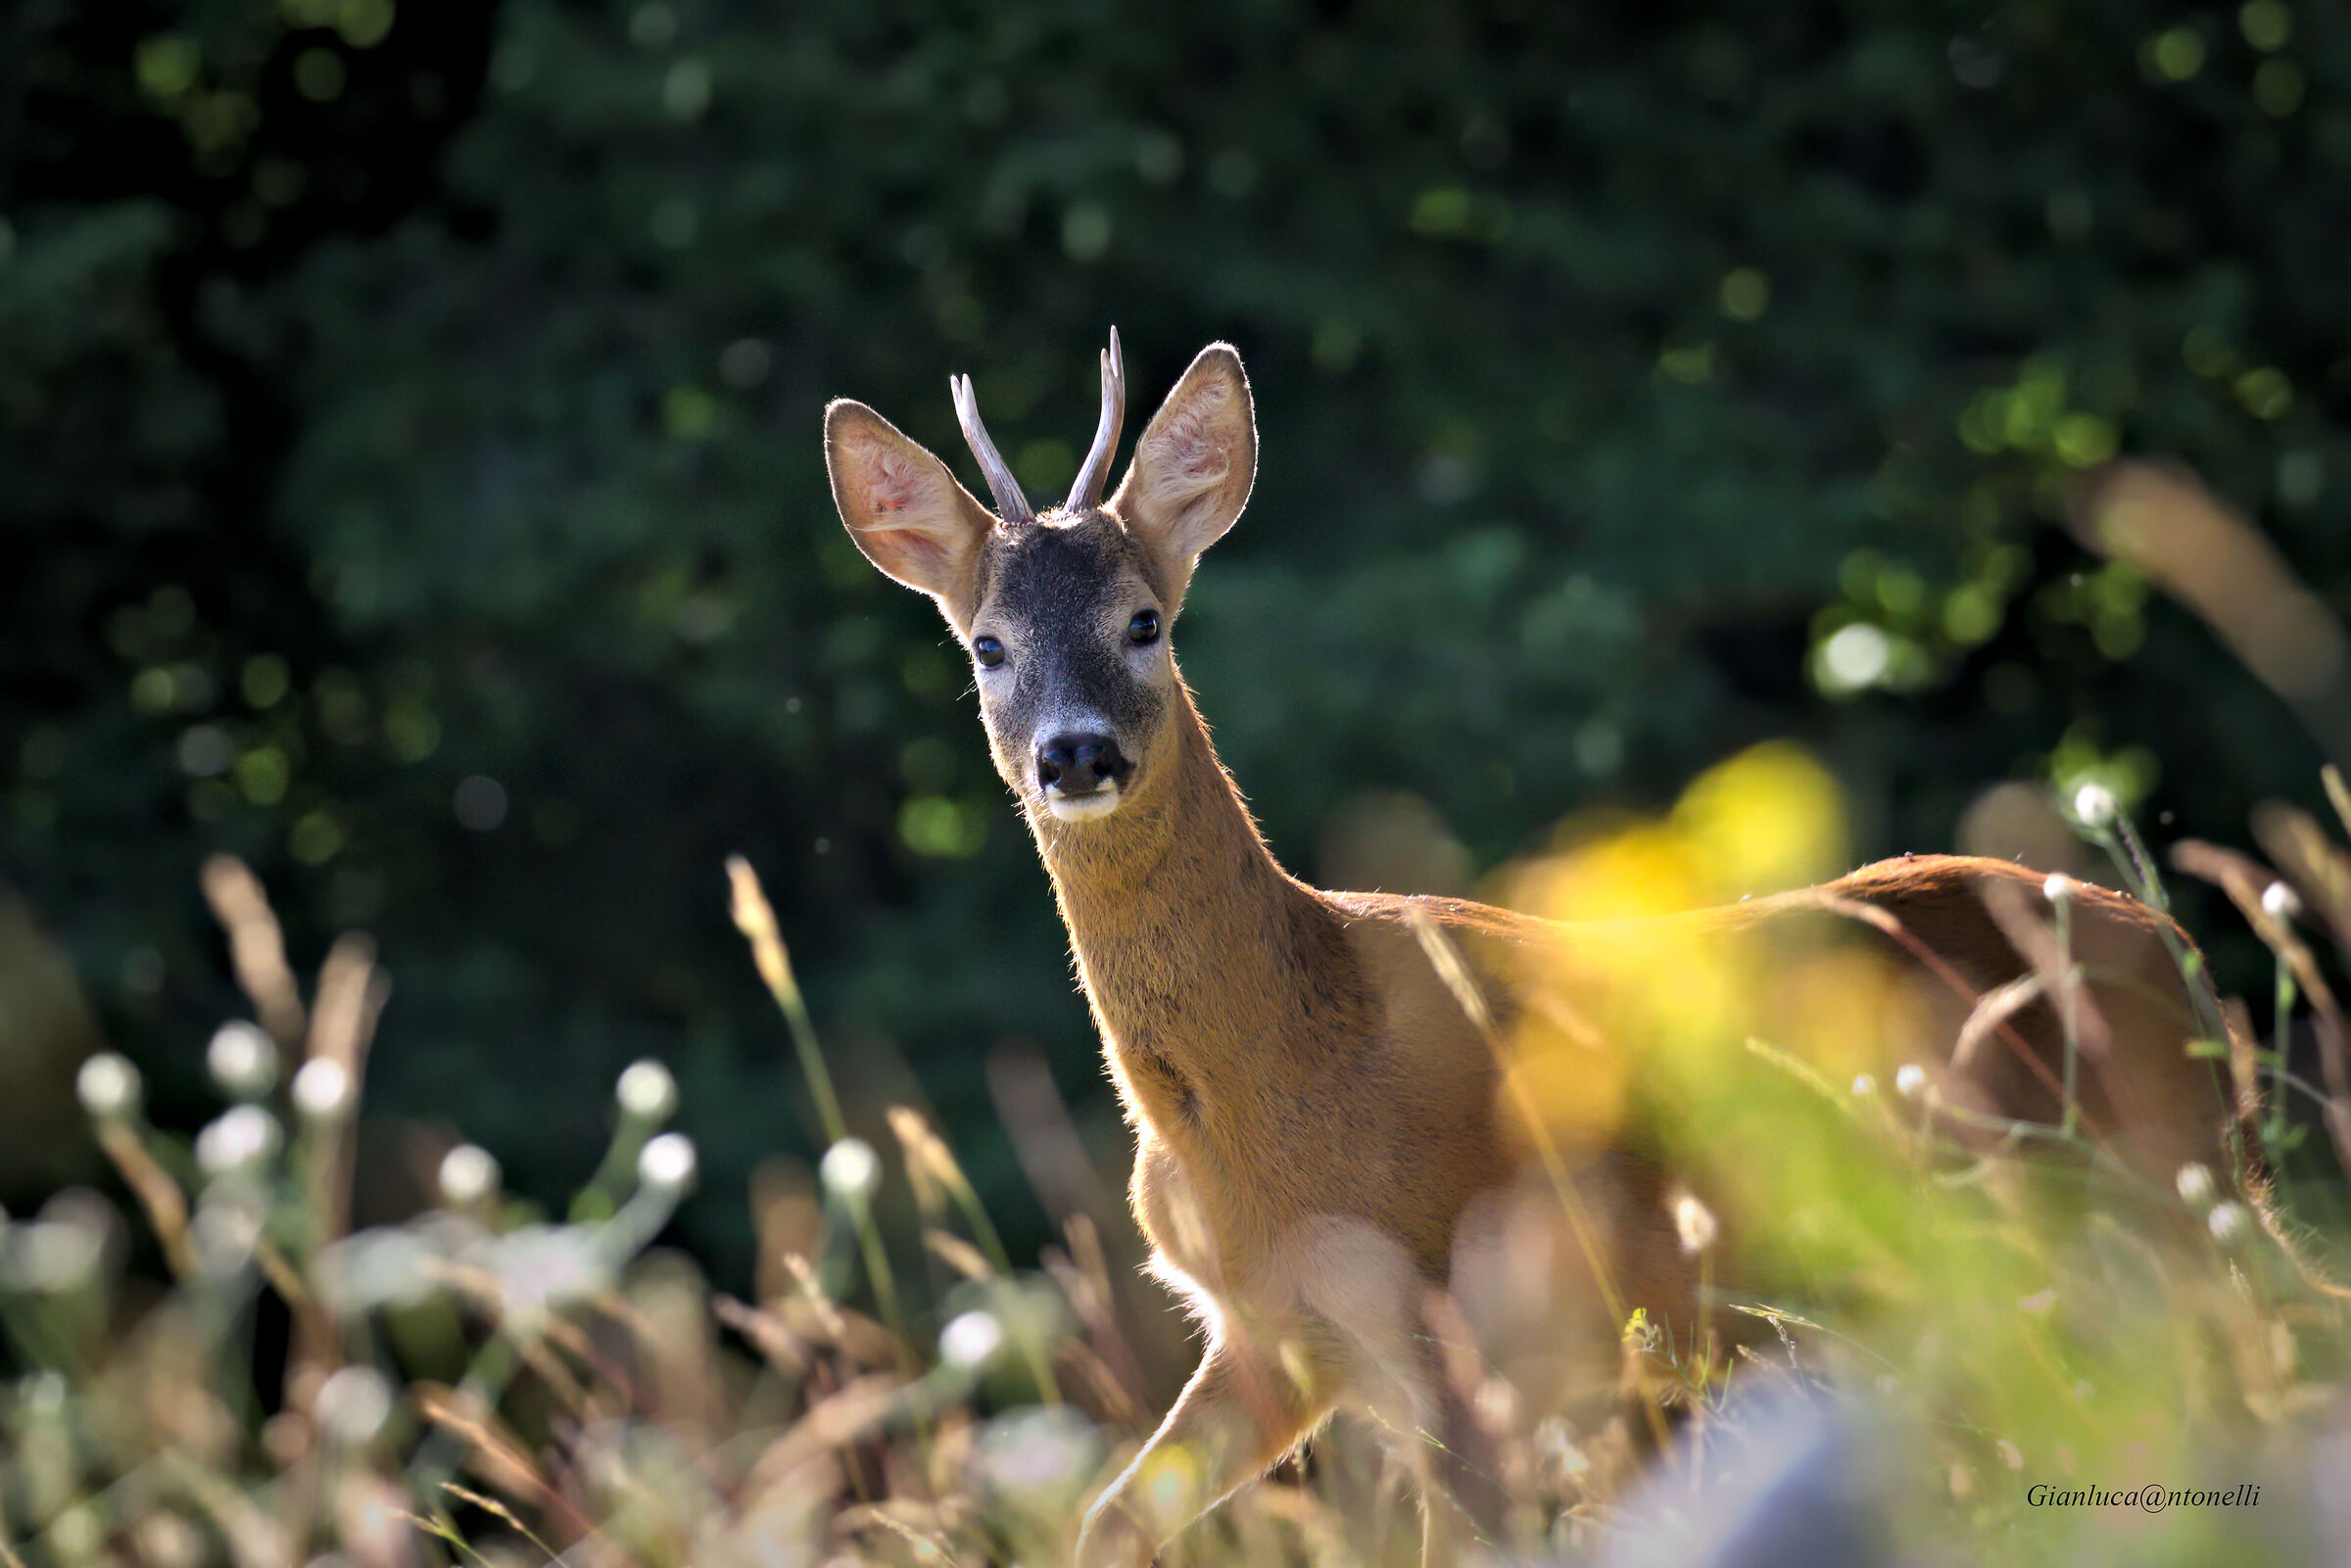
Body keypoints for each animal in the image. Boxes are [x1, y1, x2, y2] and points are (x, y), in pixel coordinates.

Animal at [821, 331, 2268, 1565]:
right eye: (986, 645)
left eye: (1144, 620)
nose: (1076, 754)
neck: (1278, 1075)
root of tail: (2179, 950)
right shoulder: (1268, 1333)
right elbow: (1106, 1520)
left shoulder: (1458, 1319)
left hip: (2152, 1202)